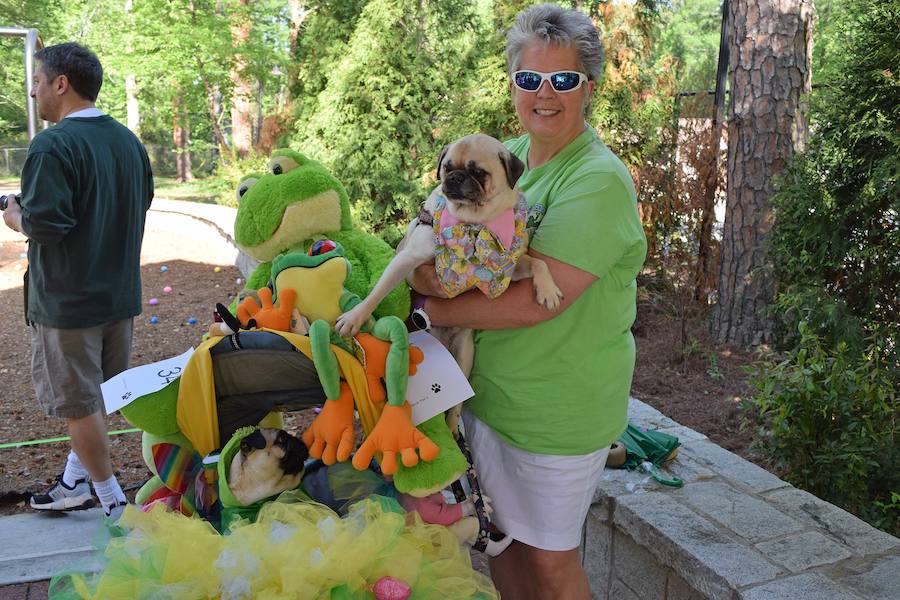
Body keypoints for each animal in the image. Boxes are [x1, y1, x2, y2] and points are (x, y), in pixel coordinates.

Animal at [338, 132, 564, 412]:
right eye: (446, 167)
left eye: (478, 172)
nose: (455, 177)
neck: (473, 224)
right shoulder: (407, 259)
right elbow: (378, 292)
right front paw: (355, 317)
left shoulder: (504, 272)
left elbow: (537, 263)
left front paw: (548, 290)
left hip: (465, 359)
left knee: (456, 408)